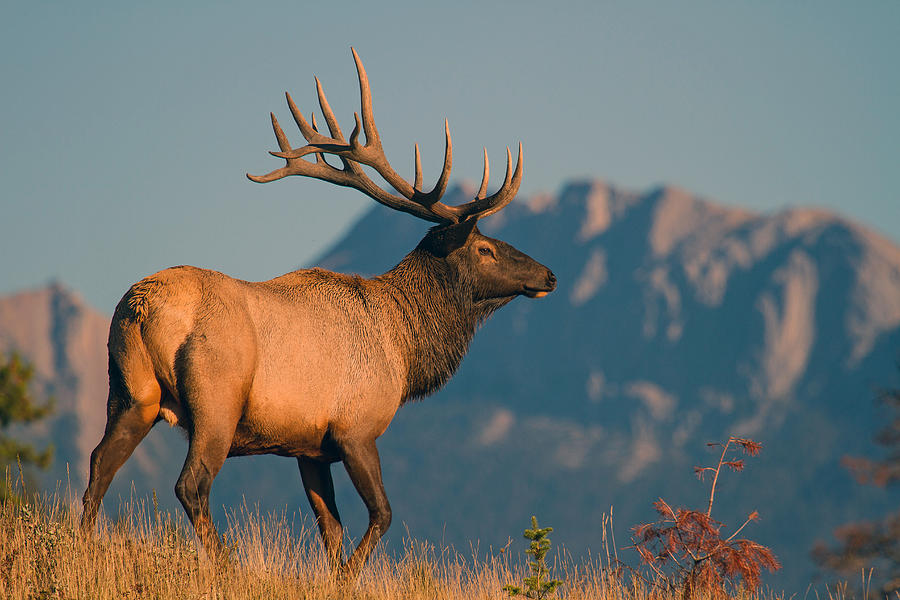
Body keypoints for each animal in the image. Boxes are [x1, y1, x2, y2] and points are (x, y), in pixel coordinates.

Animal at [79, 48, 556, 576]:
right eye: (485, 249)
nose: (549, 275)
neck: (403, 347)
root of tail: (140, 308)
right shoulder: (356, 429)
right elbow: (382, 515)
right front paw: (348, 577)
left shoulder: (309, 447)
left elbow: (331, 527)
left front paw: (334, 575)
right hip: (216, 400)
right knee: (191, 484)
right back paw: (228, 568)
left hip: (131, 393)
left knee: (99, 463)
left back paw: (80, 547)